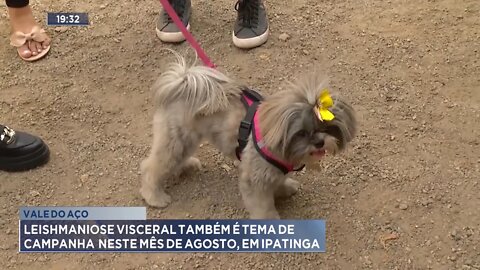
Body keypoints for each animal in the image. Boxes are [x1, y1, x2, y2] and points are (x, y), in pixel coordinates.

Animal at [140, 55, 356, 219]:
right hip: (175, 141)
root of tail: (183, 81)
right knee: (151, 167)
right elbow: (263, 207)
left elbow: (278, 181)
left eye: (327, 127)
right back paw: (154, 196)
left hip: (184, 141)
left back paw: (186, 166)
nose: (319, 142)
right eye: (301, 133)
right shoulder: (254, 180)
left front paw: (284, 188)